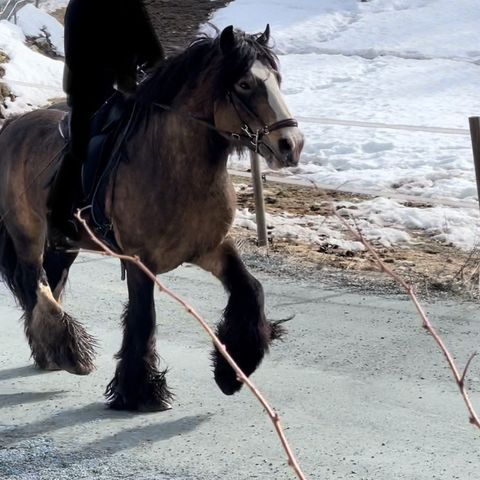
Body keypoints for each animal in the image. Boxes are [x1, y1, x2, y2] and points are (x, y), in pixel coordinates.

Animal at [0, 24, 304, 410]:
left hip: (63, 242)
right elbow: (143, 318)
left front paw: (233, 369)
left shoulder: (212, 248)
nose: (291, 145)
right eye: (245, 83)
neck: (175, 166)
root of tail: (13, 125)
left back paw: (51, 351)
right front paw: (138, 391)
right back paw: (69, 351)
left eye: (277, 79)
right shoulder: (139, 260)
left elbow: (250, 289)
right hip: (27, 233)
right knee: (34, 282)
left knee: (47, 281)